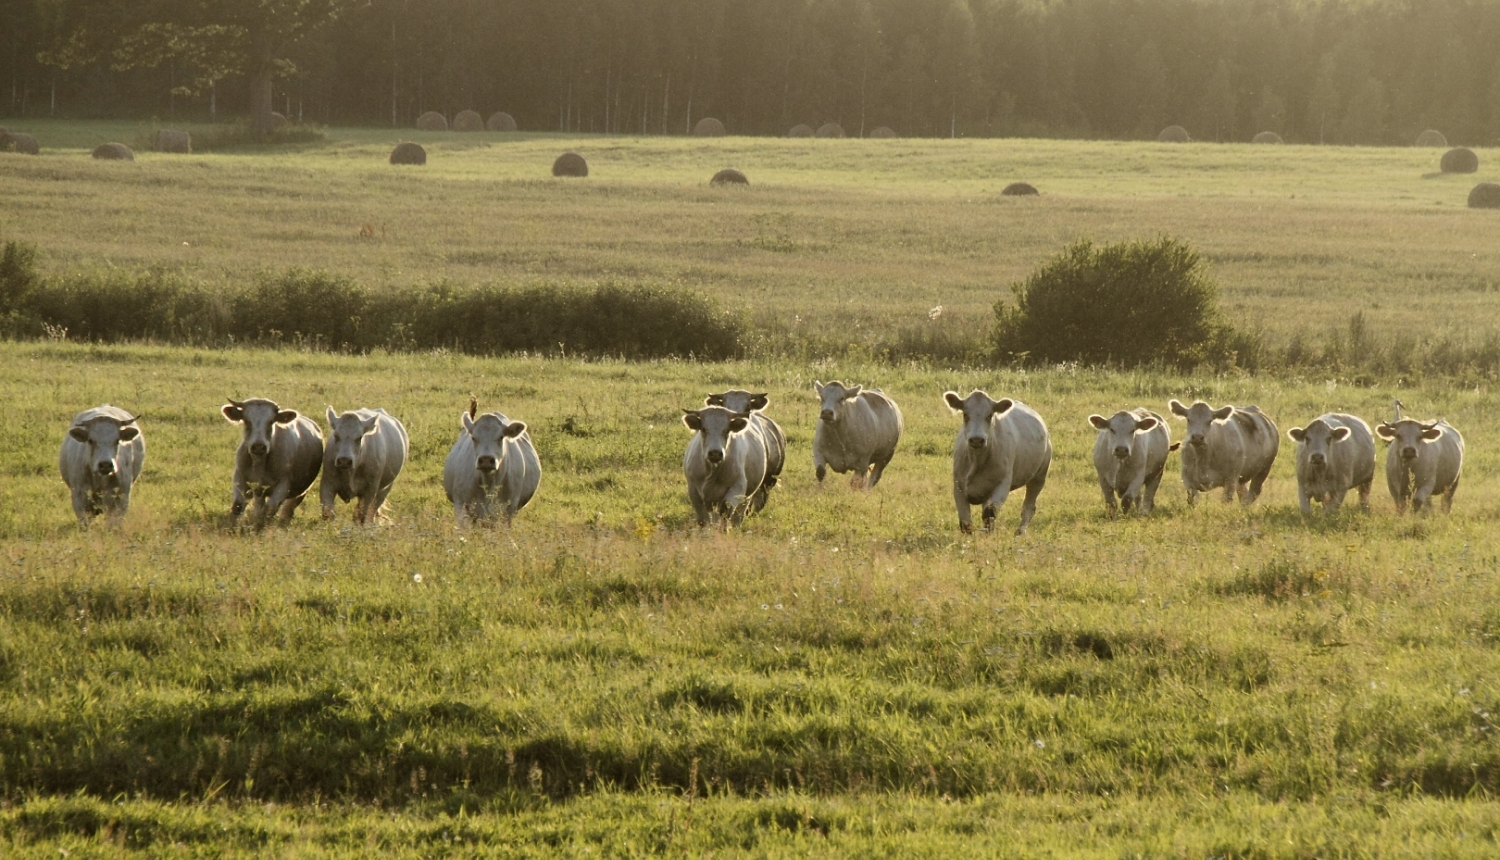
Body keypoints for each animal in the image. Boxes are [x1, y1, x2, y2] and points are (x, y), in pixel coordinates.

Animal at [942, 387, 1050, 531]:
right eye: (965, 415)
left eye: (989, 415)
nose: (977, 439)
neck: (977, 460)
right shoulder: (958, 486)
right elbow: (966, 523)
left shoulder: (1003, 483)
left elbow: (989, 513)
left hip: (1039, 476)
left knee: (1028, 508)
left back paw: (1020, 532)